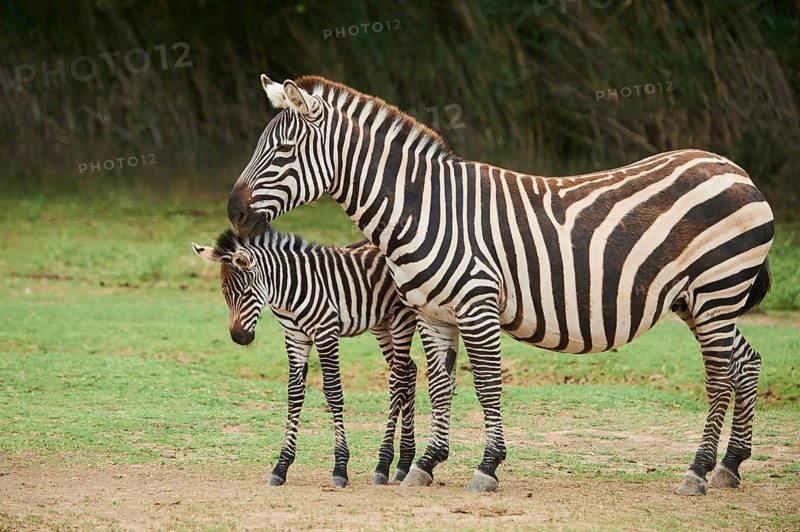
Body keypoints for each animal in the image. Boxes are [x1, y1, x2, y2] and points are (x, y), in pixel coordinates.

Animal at [192, 227, 418, 487]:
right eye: (224, 292)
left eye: (246, 292)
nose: (240, 337)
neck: (287, 291)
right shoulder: (295, 337)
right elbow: (294, 394)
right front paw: (281, 467)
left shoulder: (326, 332)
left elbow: (333, 393)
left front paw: (340, 468)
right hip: (381, 323)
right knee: (410, 371)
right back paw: (404, 463)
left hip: (401, 319)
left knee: (398, 381)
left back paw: (384, 464)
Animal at [225, 75, 774, 495]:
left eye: (283, 150)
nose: (233, 213)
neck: (423, 209)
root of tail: (734, 169)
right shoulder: (432, 313)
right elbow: (440, 385)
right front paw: (426, 464)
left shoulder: (477, 304)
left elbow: (486, 384)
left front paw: (487, 467)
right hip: (699, 299)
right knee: (746, 363)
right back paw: (730, 466)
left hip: (716, 290)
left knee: (719, 375)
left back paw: (698, 471)